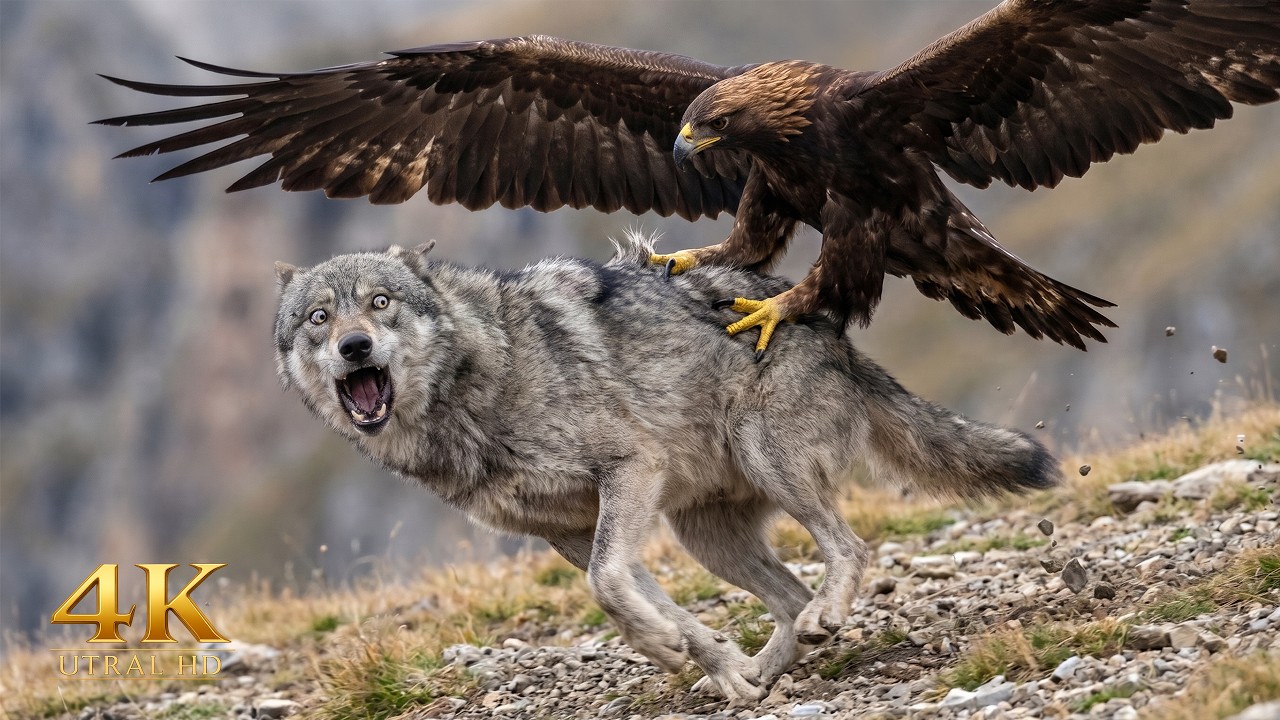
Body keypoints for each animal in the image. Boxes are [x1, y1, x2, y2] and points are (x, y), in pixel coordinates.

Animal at [273, 232, 1061, 701]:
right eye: (318, 318)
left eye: (380, 304)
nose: (353, 347)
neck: (477, 382)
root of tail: (831, 328)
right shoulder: (569, 531)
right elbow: (640, 598)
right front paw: (705, 657)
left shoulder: (628, 473)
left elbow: (608, 587)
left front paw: (665, 646)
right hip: (704, 536)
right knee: (787, 595)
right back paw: (763, 670)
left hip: (767, 462)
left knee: (849, 550)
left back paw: (824, 619)